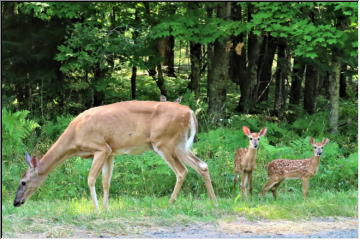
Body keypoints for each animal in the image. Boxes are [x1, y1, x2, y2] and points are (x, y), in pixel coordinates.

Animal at [14, 100, 217, 209]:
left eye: (23, 182)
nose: (16, 202)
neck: (75, 137)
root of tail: (190, 112)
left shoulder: (100, 147)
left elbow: (90, 179)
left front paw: (96, 209)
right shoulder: (111, 151)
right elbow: (106, 181)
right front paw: (106, 208)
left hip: (165, 142)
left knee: (182, 171)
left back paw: (170, 203)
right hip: (180, 144)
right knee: (202, 165)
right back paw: (213, 202)